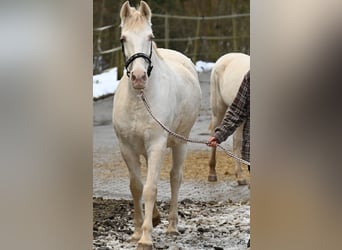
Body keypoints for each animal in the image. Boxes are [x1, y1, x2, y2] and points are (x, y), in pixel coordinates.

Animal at [112, 1, 202, 248]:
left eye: (150, 37)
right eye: (123, 38)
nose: (139, 77)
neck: (140, 100)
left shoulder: (157, 145)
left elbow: (151, 188)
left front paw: (145, 238)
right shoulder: (127, 147)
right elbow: (136, 187)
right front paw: (136, 232)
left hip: (180, 143)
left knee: (174, 178)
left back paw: (171, 226)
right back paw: (155, 218)